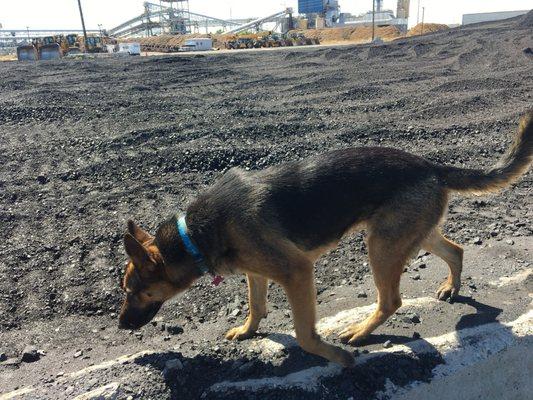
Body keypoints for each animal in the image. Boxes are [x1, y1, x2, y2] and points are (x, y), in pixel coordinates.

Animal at [118, 111, 528, 368]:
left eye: (136, 291)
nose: (121, 326)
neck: (191, 235)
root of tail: (430, 165)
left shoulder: (296, 271)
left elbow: (303, 334)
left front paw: (333, 357)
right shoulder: (256, 272)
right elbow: (256, 306)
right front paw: (248, 330)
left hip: (381, 246)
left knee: (392, 300)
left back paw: (360, 332)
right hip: (409, 234)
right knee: (455, 249)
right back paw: (451, 287)